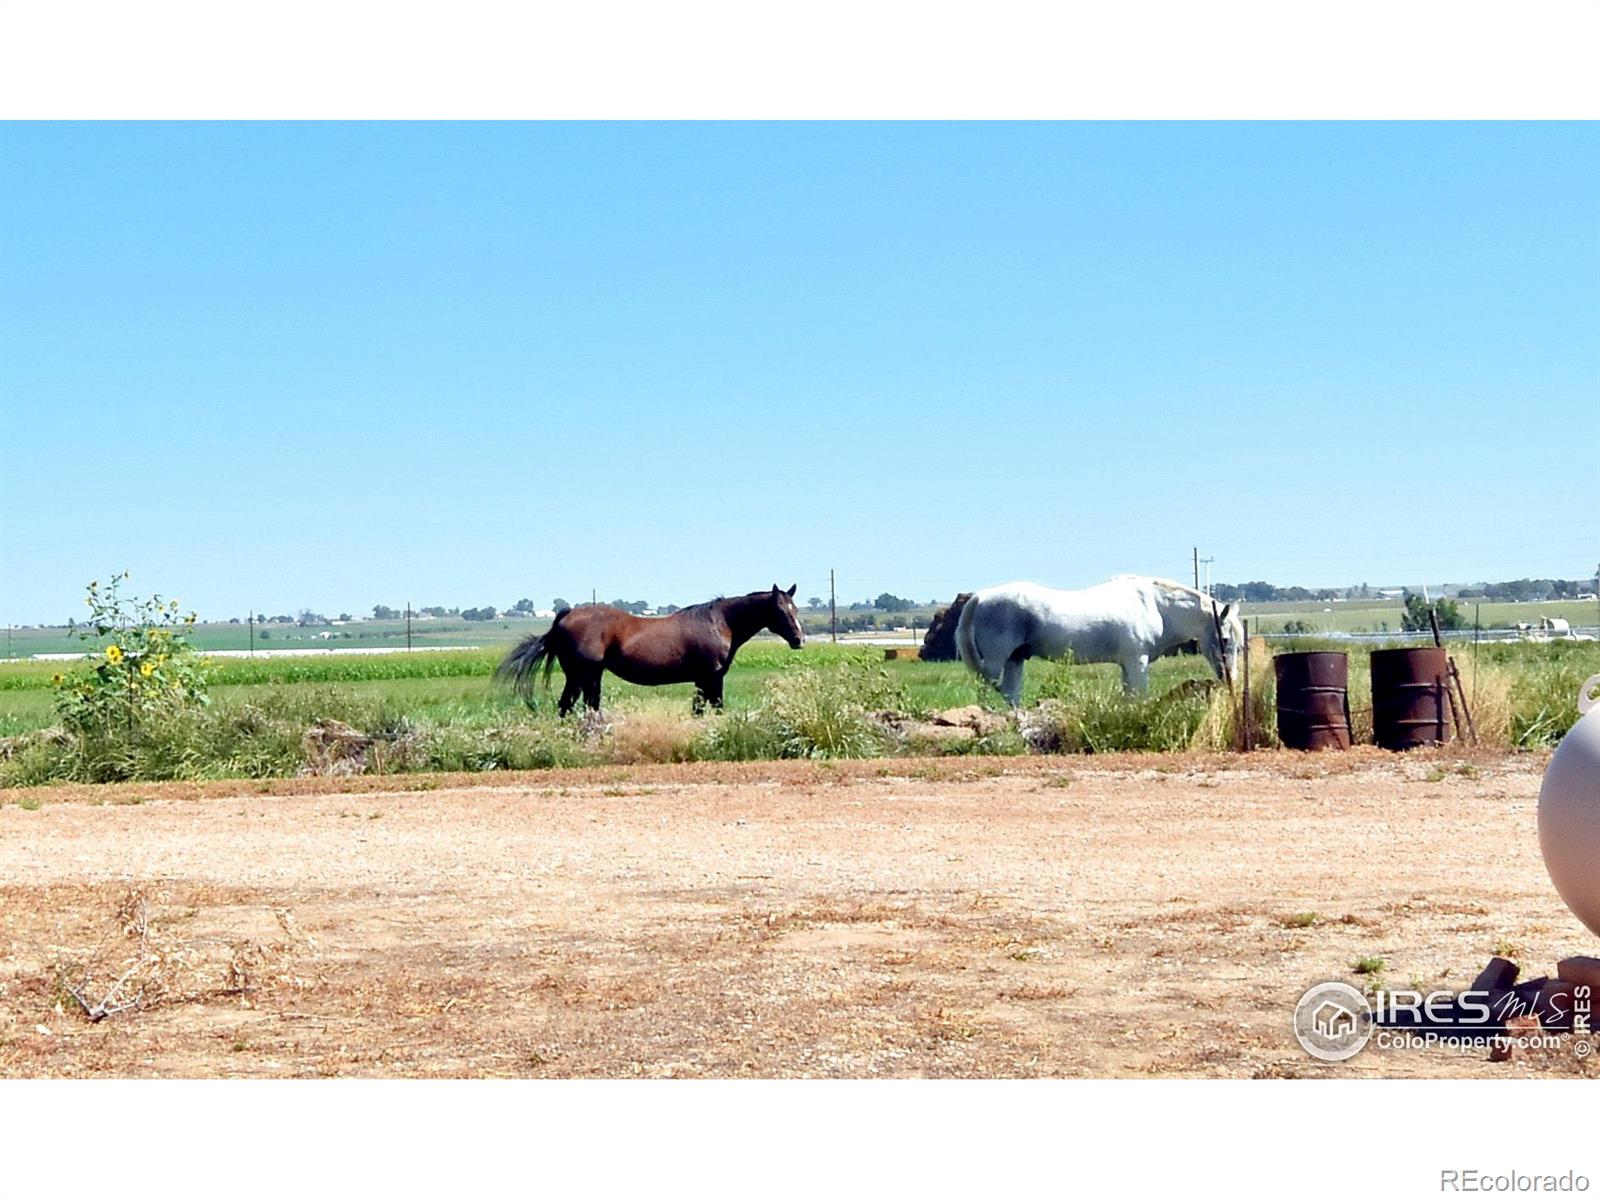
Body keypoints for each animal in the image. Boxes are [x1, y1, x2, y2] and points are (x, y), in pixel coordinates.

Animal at [496, 588, 806, 720]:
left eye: (796, 608)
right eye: (781, 610)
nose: (800, 639)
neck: (719, 623)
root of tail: (566, 615)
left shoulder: (701, 680)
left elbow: (698, 710)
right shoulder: (712, 677)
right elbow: (715, 707)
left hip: (586, 675)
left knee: (578, 706)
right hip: (584, 674)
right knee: (573, 705)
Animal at [953, 576, 1241, 704]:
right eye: (1225, 639)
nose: (1230, 678)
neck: (1154, 605)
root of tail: (980, 596)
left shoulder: (1127, 665)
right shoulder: (1137, 661)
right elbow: (1140, 695)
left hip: (1016, 659)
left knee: (1010, 694)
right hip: (995, 661)